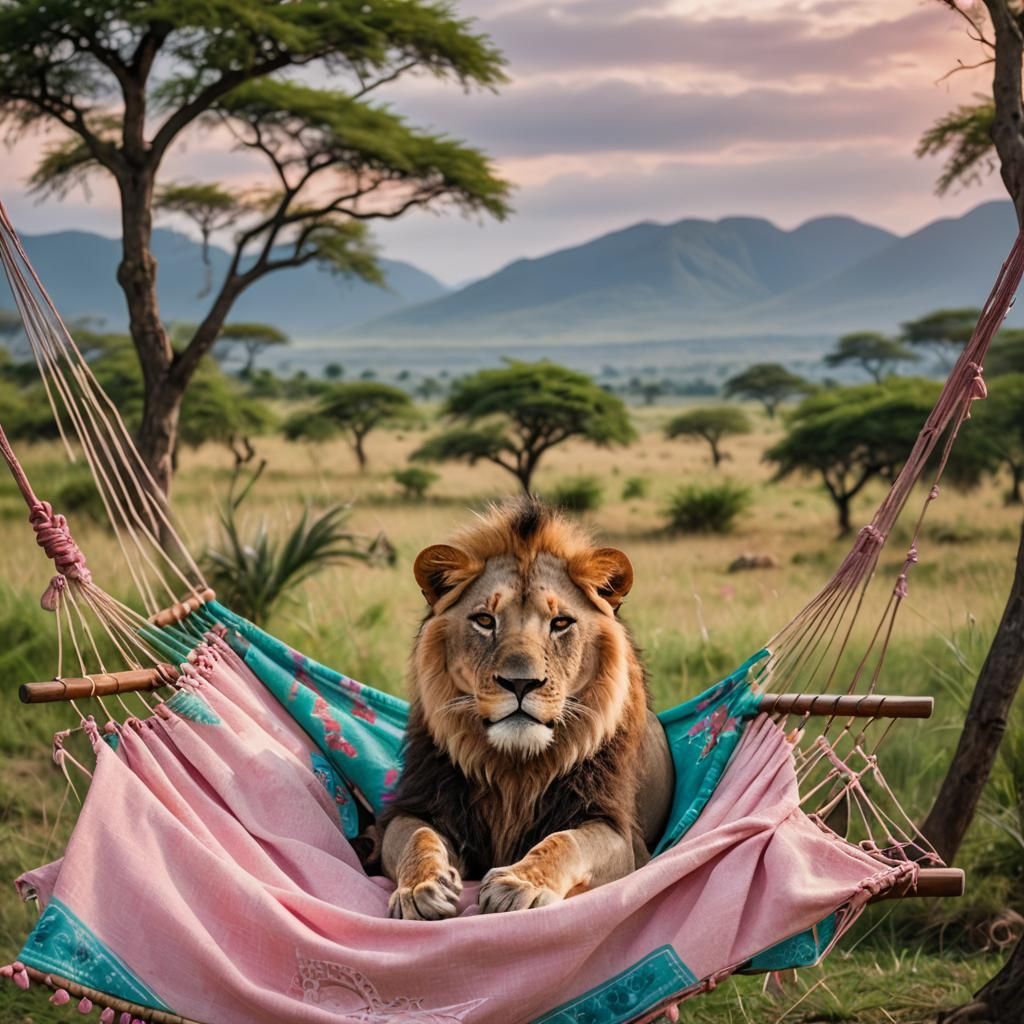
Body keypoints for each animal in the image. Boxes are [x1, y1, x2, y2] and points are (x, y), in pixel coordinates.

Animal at [379, 496, 674, 919]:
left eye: (561, 623)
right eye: (485, 620)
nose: (520, 683)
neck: (515, 768)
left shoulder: (618, 832)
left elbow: (566, 840)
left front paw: (518, 884)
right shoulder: (419, 806)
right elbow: (416, 835)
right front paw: (420, 890)